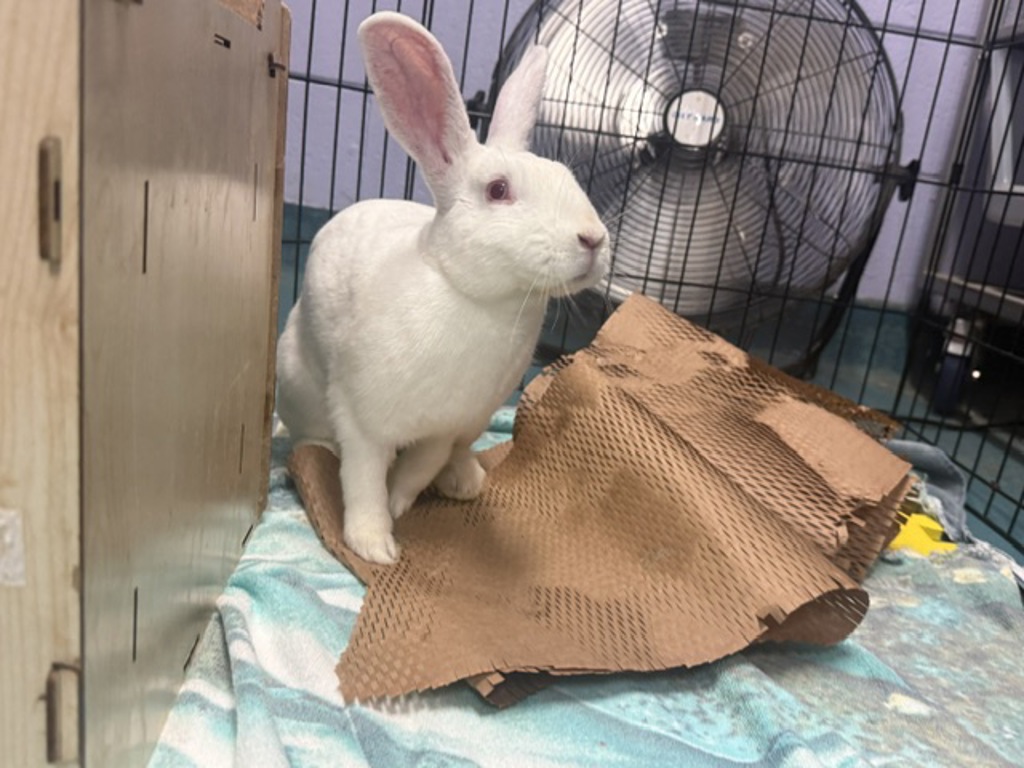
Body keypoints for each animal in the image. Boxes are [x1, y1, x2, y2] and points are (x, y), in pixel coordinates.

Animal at [276, 11, 610, 565]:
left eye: (568, 176)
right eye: (498, 190)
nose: (593, 238)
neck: (474, 297)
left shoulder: (447, 426)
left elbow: (417, 470)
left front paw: (400, 504)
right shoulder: (361, 417)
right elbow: (363, 479)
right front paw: (375, 544)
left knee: (454, 457)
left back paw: (465, 480)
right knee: (313, 436)